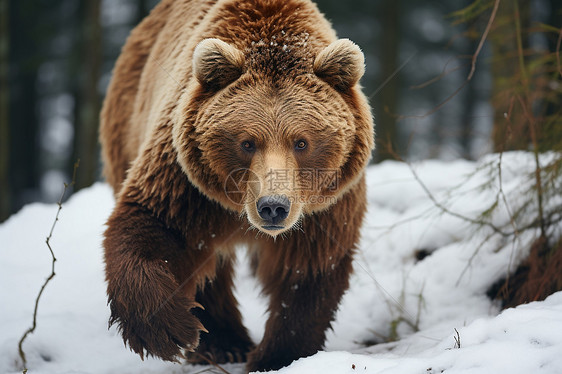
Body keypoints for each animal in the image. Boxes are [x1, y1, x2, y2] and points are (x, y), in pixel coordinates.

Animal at [99, 0, 372, 372]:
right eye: (247, 142)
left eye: (301, 142)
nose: (273, 207)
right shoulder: (188, 183)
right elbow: (154, 225)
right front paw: (170, 330)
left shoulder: (324, 206)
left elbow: (308, 269)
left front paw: (277, 355)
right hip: (128, 124)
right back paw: (221, 343)